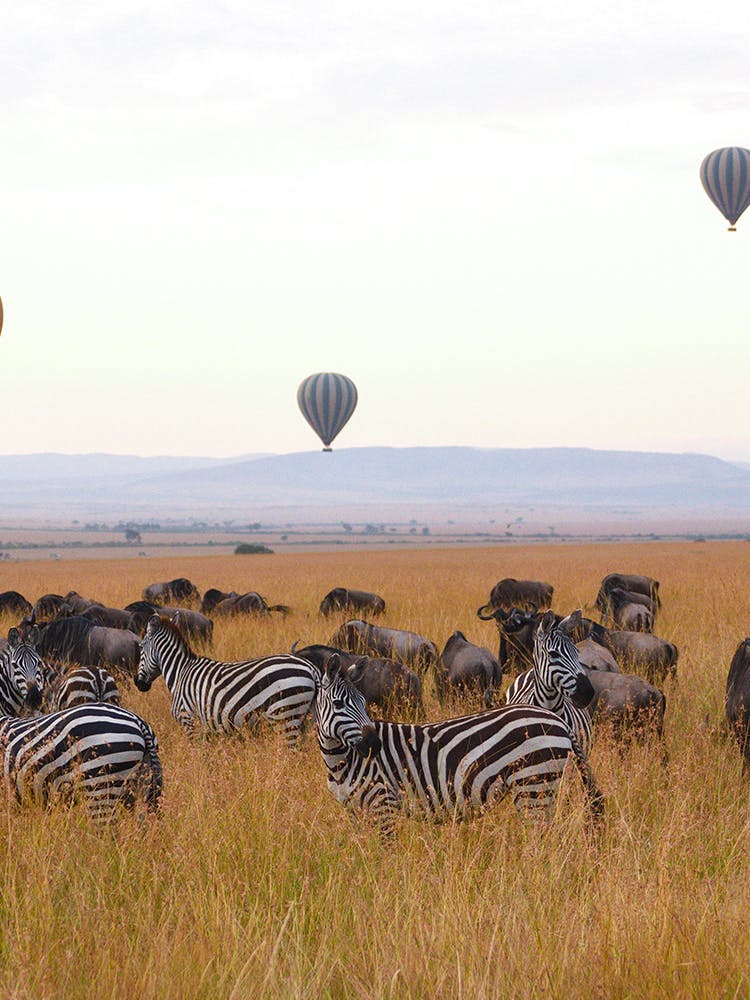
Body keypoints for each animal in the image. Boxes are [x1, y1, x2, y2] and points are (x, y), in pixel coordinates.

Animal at [137, 612, 318, 748]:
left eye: (140, 646)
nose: (139, 684)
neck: (181, 671)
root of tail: (311, 667)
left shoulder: (189, 720)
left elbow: (199, 754)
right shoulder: (208, 730)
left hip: (285, 716)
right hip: (306, 720)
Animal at [316, 652, 604, 840]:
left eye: (364, 703)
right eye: (339, 704)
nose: (373, 744)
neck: (340, 761)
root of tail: (558, 720)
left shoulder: (384, 804)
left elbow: (386, 853)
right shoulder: (354, 811)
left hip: (533, 783)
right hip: (542, 786)